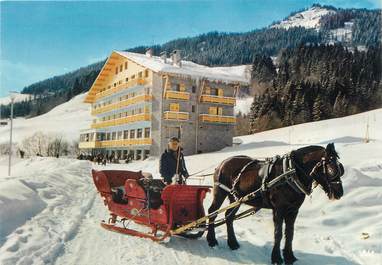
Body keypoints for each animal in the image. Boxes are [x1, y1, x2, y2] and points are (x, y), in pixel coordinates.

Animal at [207, 143, 344, 262]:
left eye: (341, 169)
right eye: (332, 170)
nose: (340, 193)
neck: (292, 172)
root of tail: (223, 163)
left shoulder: (293, 210)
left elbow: (290, 233)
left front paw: (289, 256)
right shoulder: (279, 209)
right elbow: (278, 233)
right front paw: (277, 258)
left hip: (236, 199)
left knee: (229, 216)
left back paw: (233, 243)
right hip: (220, 193)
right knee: (212, 213)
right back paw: (211, 240)